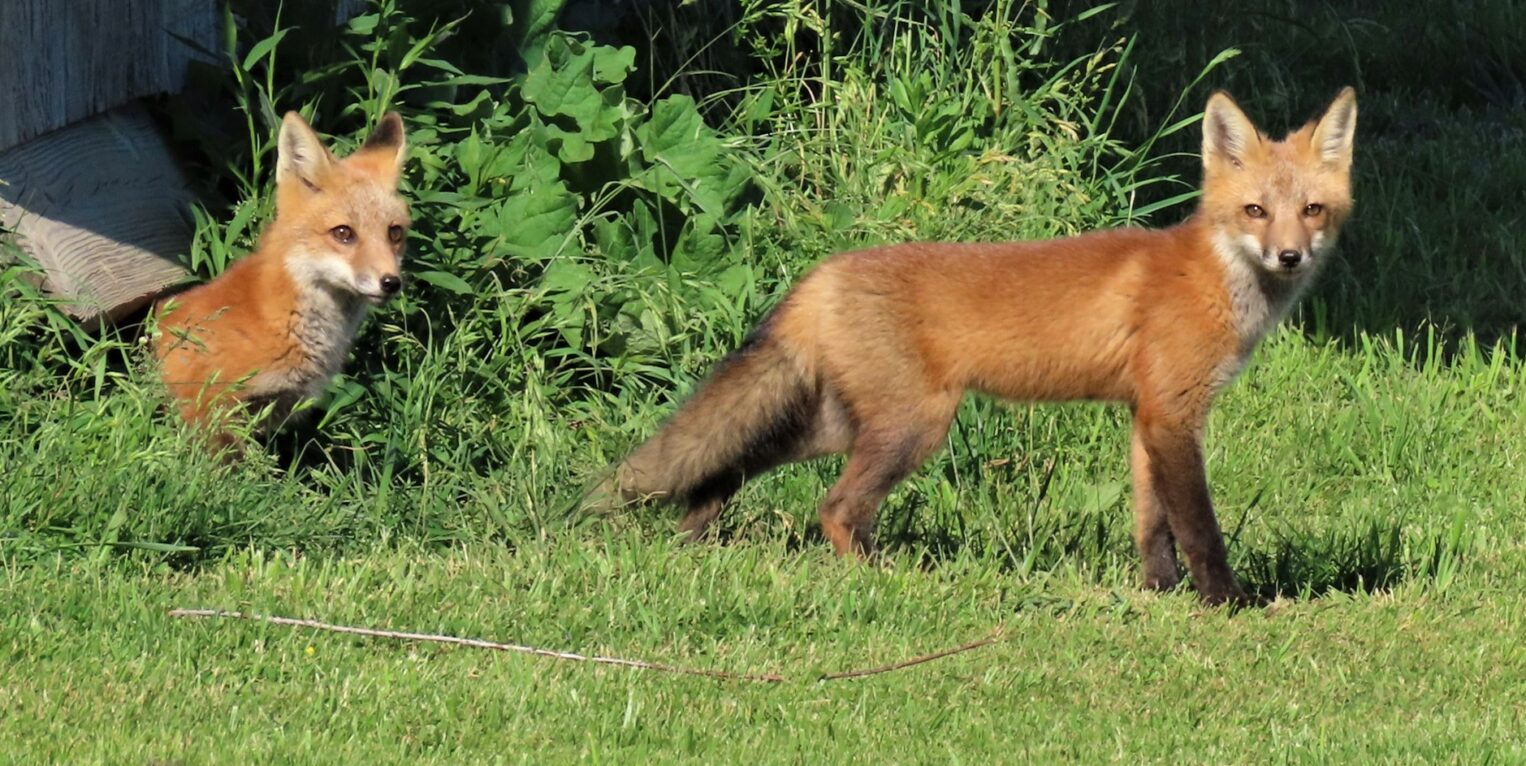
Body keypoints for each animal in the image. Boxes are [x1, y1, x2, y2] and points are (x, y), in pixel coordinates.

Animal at [604, 88, 1361, 604]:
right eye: (1255, 211)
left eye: (1312, 210)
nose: (1290, 255)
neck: (1212, 278)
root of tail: (822, 273)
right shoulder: (1175, 414)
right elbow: (1199, 526)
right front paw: (1227, 603)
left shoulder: (1147, 414)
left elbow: (1152, 523)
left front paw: (1158, 592)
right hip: (914, 427)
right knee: (834, 508)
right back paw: (883, 581)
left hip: (842, 424)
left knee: (736, 460)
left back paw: (697, 527)